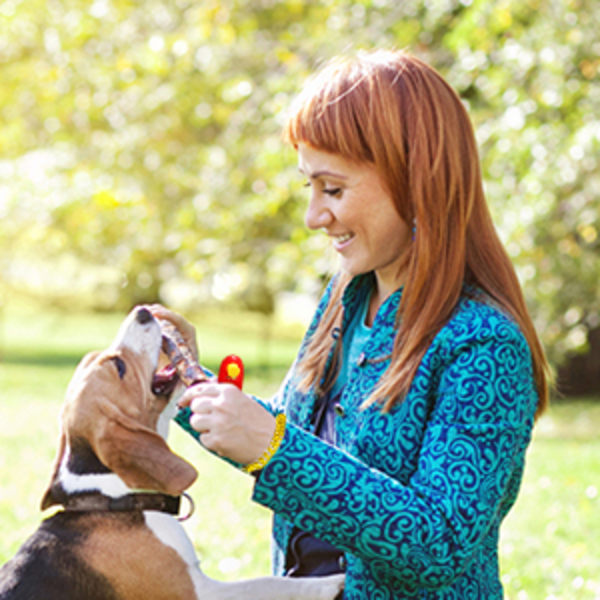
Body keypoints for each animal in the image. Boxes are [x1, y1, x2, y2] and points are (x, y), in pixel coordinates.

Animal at [0, 308, 342, 596]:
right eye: (119, 366)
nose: (142, 310)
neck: (113, 495)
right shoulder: (199, 592)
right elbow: (265, 584)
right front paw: (331, 582)